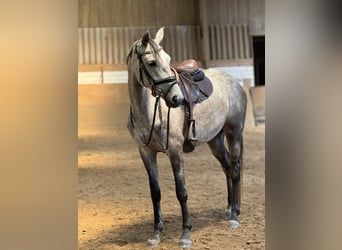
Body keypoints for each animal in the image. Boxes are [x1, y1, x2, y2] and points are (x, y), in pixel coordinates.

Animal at [125, 27, 246, 248]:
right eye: (151, 62)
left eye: (168, 59)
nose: (177, 99)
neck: (148, 110)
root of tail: (235, 82)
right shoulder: (146, 152)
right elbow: (155, 192)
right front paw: (156, 234)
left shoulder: (175, 151)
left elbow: (182, 192)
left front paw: (185, 234)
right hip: (215, 140)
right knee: (226, 167)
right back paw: (229, 208)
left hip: (234, 132)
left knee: (235, 170)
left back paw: (235, 216)